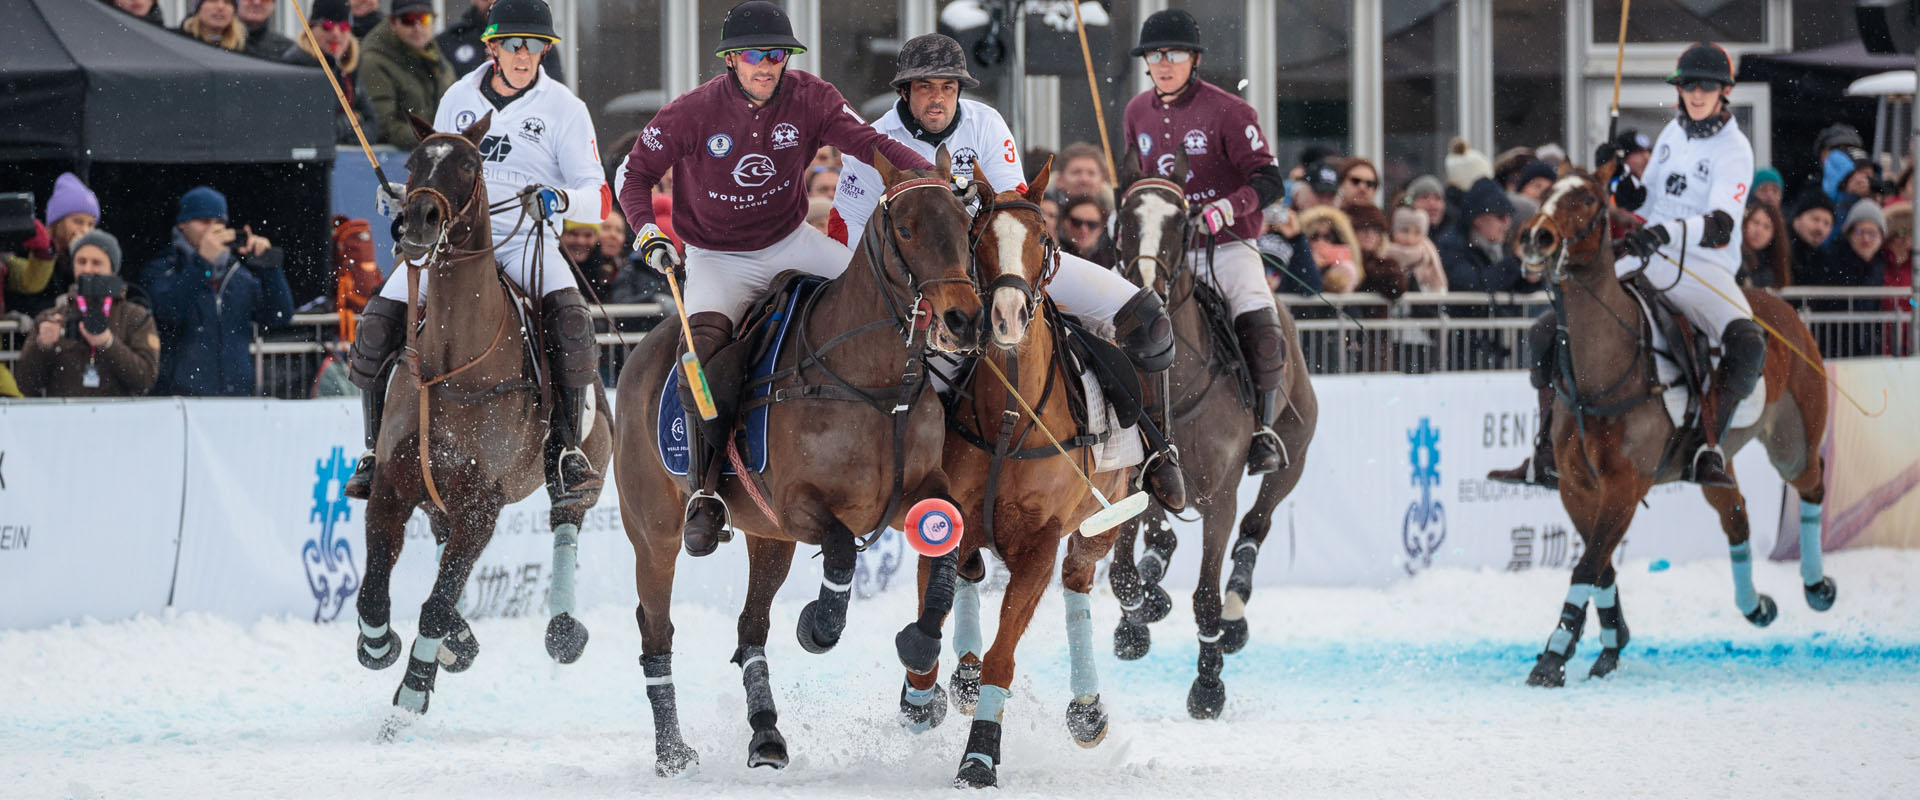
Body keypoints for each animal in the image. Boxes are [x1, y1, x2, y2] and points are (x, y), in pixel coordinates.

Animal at [351, 113, 606, 729]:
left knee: (566, 515)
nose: (416, 221)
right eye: (413, 161)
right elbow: (376, 594)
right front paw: (383, 646)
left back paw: (563, 631)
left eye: (469, 164)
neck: (452, 363)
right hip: (433, 494)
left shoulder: (481, 505)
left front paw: (412, 693)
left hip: (586, 465)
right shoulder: (393, 488)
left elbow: (436, 603)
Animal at [606, 154, 983, 775]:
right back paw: (672, 753)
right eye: (906, 229)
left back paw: (765, 733)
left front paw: (921, 644)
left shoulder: (918, 490)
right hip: (654, 533)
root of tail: (639, 349)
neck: (874, 380)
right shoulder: (797, 505)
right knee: (656, 632)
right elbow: (840, 552)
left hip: (767, 538)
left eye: (964, 224)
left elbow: (947, 541)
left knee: (750, 629)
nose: (964, 321)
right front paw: (819, 626)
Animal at [894, 166, 1144, 786]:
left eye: (1044, 240)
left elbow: (1003, 658)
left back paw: (1086, 710)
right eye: (977, 241)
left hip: (1100, 526)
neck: (1011, 415)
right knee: (969, 578)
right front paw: (922, 696)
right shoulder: (945, 512)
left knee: (1078, 583)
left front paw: (980, 755)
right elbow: (932, 616)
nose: (1005, 316)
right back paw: (958, 677)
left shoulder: (1039, 543)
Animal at [1098, 149, 1320, 717]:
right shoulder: (1131, 483)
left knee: (1256, 526)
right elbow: (1124, 573)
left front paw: (1207, 685)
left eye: (1181, 222)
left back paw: (1236, 615)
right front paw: (1140, 614)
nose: (1146, 294)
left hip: (1293, 456)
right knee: (1162, 535)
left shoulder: (1220, 494)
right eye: (1124, 219)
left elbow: (1204, 597)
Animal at [1512, 164, 1827, 686]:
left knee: (1812, 484)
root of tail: (1783, 307)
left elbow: (1588, 565)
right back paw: (1756, 605)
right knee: (1736, 513)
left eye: (1588, 198)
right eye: (1547, 193)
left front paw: (1554, 657)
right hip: (1719, 461)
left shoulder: (1625, 483)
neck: (1604, 368)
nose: (1534, 236)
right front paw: (1609, 642)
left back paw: (1818, 587)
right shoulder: (1576, 486)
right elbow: (1600, 565)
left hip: (1792, 440)